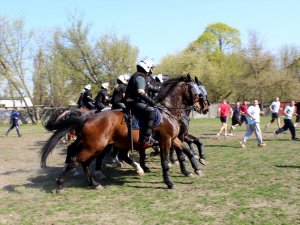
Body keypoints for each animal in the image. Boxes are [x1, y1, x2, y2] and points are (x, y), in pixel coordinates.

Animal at [40, 74, 209, 191]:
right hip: (94, 146)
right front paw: (169, 181)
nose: (204, 107)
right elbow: (167, 161)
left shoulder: (174, 139)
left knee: (85, 161)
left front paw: (196, 168)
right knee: (76, 160)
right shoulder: (166, 141)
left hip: (97, 146)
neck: (168, 110)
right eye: (196, 90)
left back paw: (95, 183)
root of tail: (87, 117)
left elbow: (188, 150)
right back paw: (61, 184)